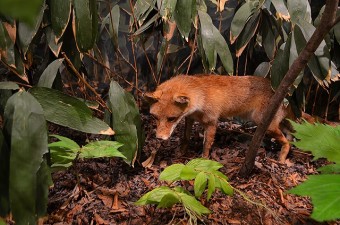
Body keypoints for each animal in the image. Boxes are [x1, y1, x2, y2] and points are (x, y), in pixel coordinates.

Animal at [145, 74, 298, 163]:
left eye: (171, 118)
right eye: (155, 117)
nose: (159, 138)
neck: (201, 97)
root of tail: (283, 94)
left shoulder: (212, 122)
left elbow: (206, 145)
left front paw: (204, 161)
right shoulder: (190, 118)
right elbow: (185, 138)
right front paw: (182, 152)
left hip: (265, 124)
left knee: (287, 142)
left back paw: (282, 158)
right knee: (290, 135)